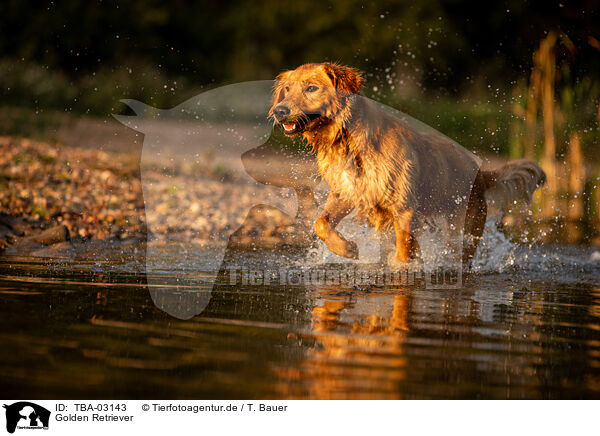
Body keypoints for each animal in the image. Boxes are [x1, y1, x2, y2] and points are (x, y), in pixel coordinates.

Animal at [270, 62, 548, 268]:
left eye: (311, 88)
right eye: (287, 89)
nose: (279, 111)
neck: (347, 140)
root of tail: (481, 172)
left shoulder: (403, 208)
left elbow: (403, 254)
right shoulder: (346, 193)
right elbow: (320, 222)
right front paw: (347, 249)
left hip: (461, 226)